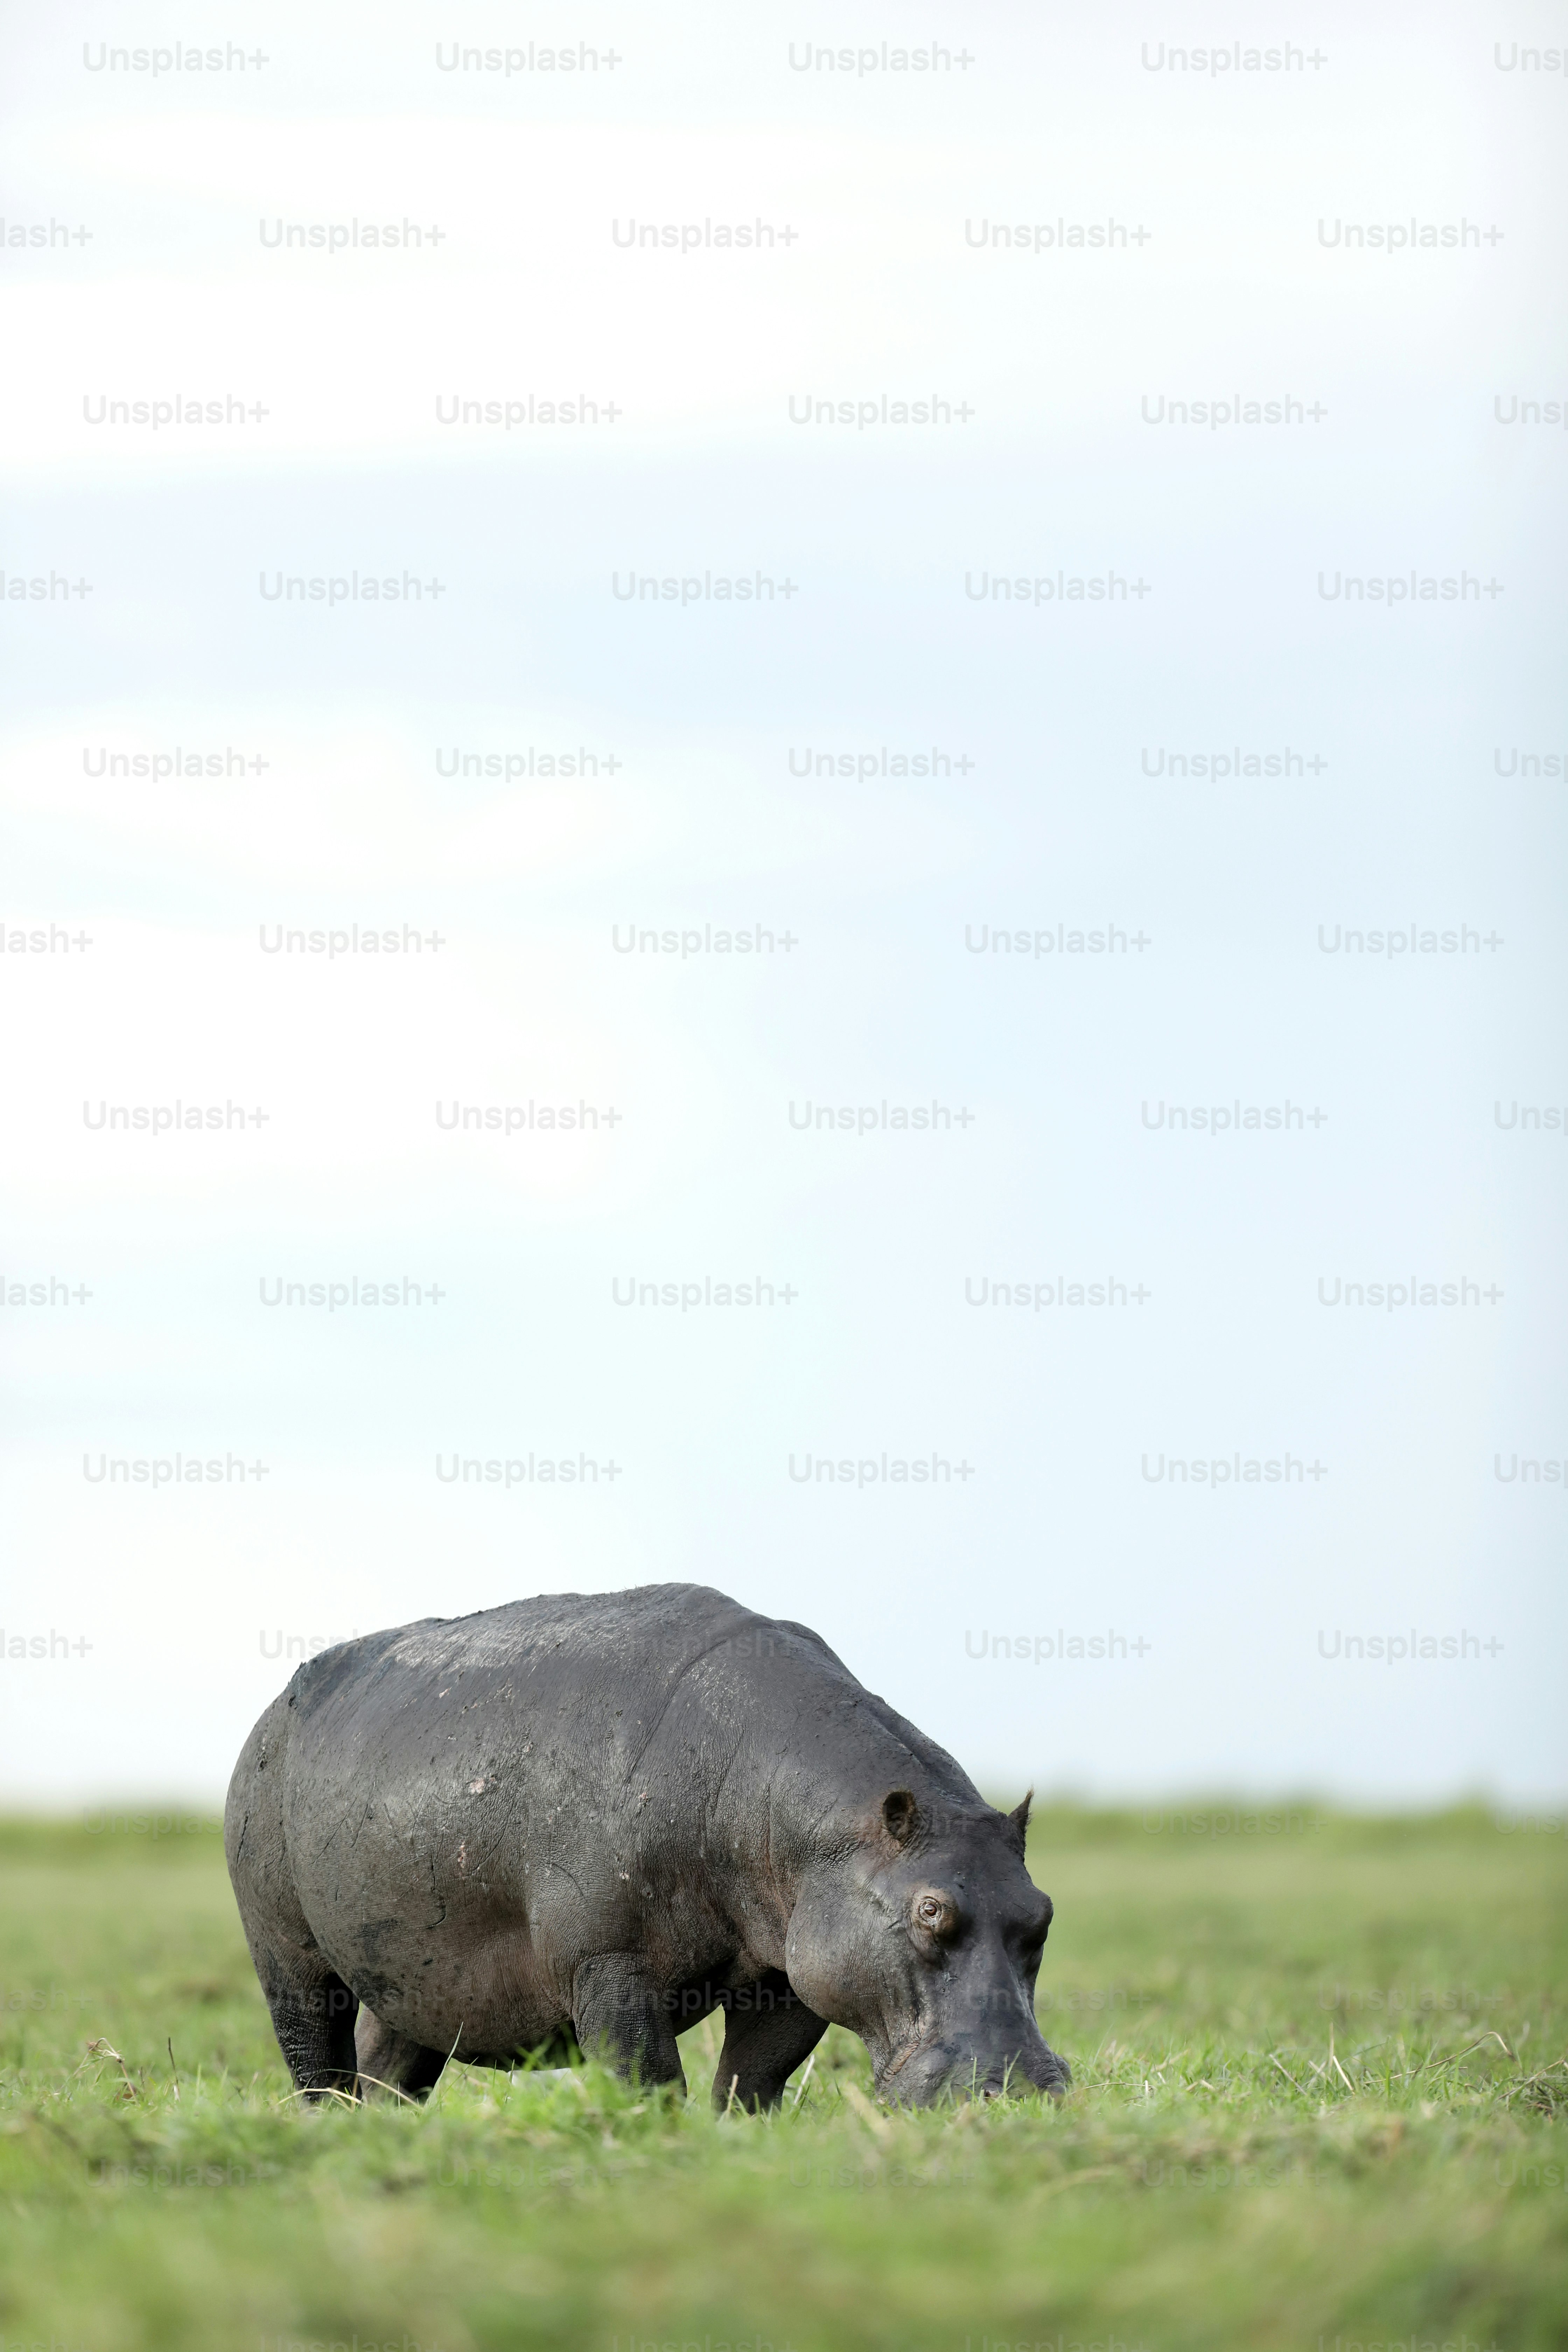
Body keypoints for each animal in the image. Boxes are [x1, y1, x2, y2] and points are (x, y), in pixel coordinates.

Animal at [225, 1583, 1069, 2108]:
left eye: (1042, 1914)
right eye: (930, 1911)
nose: (1026, 2089)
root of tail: (273, 1710)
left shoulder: (789, 1973)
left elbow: (752, 2081)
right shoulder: (608, 1961)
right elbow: (648, 2078)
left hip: (410, 1976)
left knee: (390, 2073)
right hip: (287, 1955)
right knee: (315, 2059)